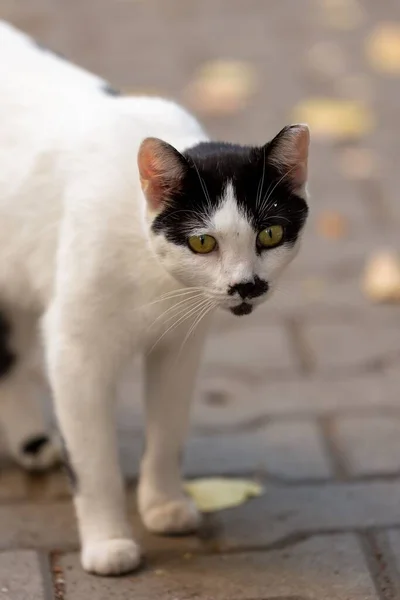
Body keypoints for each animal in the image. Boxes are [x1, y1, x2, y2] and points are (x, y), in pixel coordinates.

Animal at [0, 22, 310, 576]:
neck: (156, 282)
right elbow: (94, 461)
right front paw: (107, 542)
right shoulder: (75, 354)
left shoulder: (180, 347)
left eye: (271, 234)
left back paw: (30, 443)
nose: (246, 285)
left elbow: (168, 431)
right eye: (202, 242)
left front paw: (163, 504)